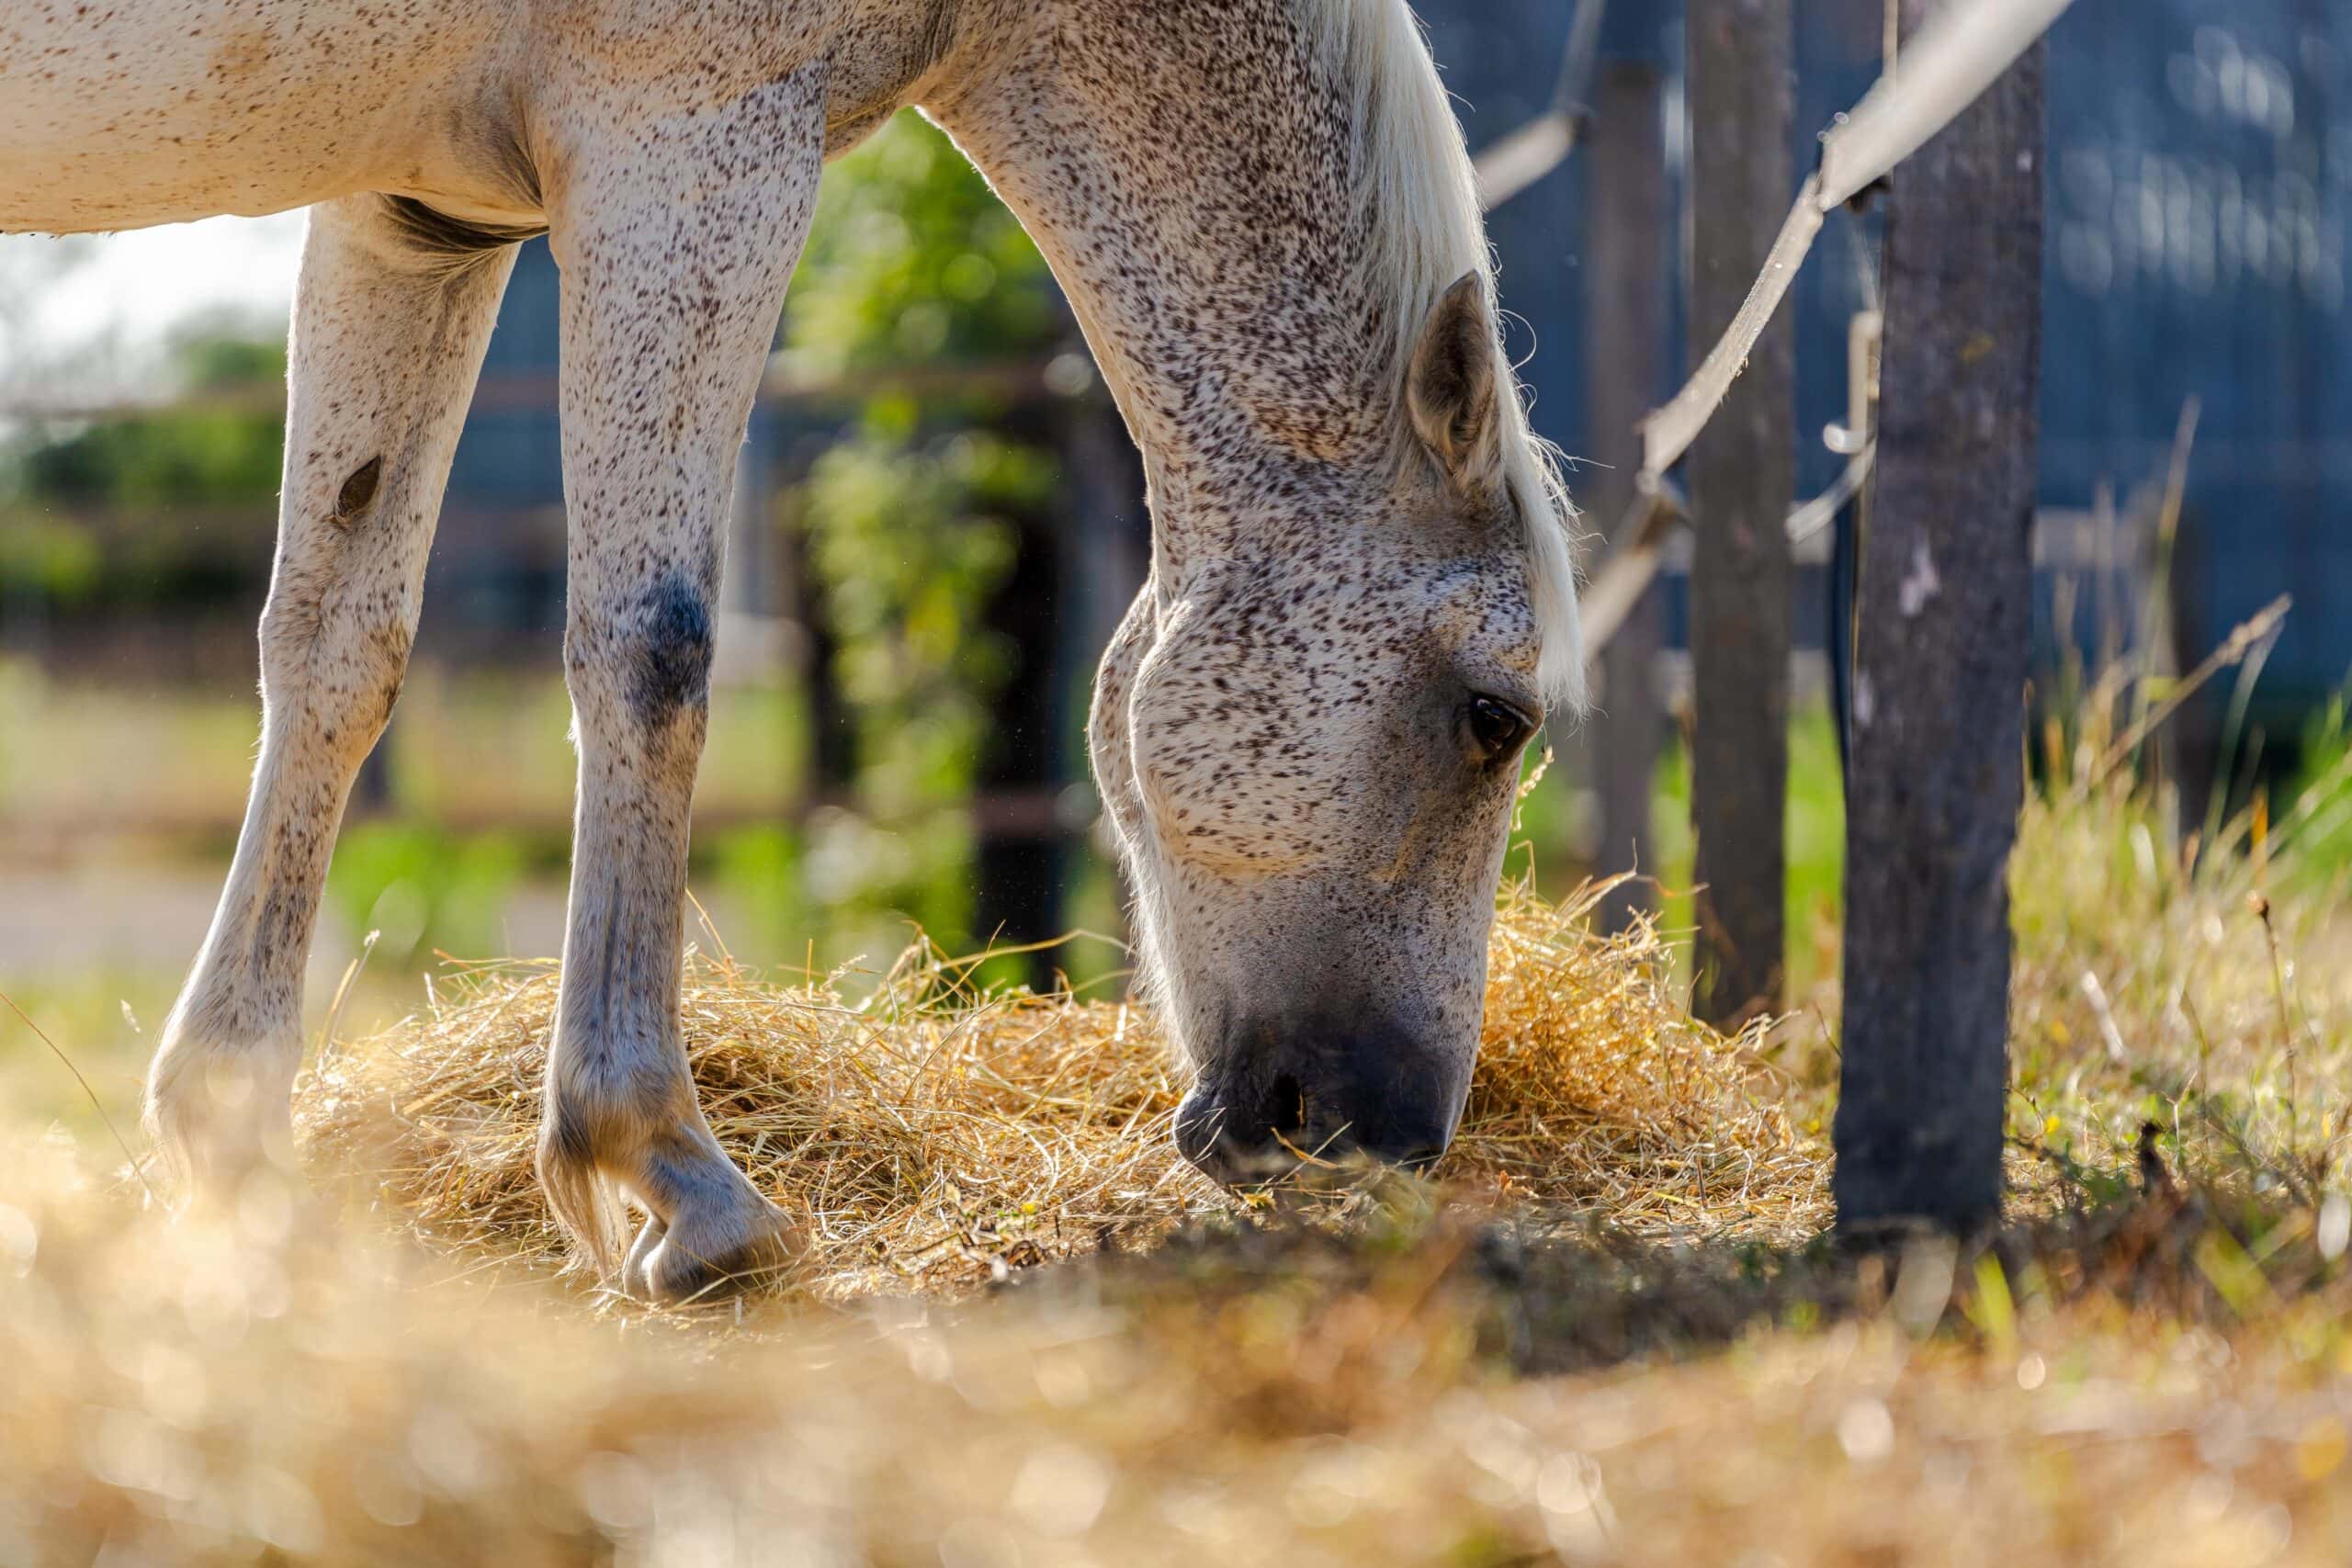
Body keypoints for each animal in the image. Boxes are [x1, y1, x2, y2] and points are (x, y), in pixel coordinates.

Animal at [5, 0, 1580, 1297]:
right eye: (1494, 715)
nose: (1388, 1133)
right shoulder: (689, 145)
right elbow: (649, 647)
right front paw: (668, 1171)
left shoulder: (413, 213)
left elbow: (337, 649)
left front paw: (233, 1139)